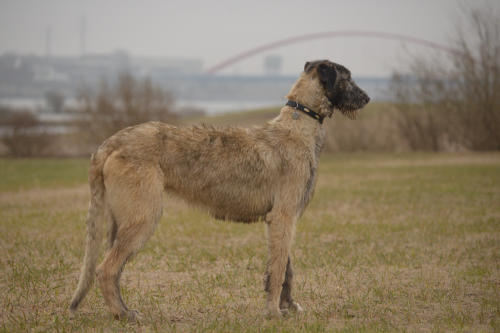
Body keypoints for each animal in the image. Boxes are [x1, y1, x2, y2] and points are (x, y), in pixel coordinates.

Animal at [69, 59, 368, 320]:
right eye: (347, 77)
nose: (367, 98)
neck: (298, 124)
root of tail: (110, 143)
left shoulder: (280, 219)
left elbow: (285, 270)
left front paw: (288, 306)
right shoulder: (283, 217)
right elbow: (279, 269)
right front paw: (273, 312)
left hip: (120, 221)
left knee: (113, 268)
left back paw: (122, 309)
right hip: (143, 218)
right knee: (106, 269)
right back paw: (123, 314)